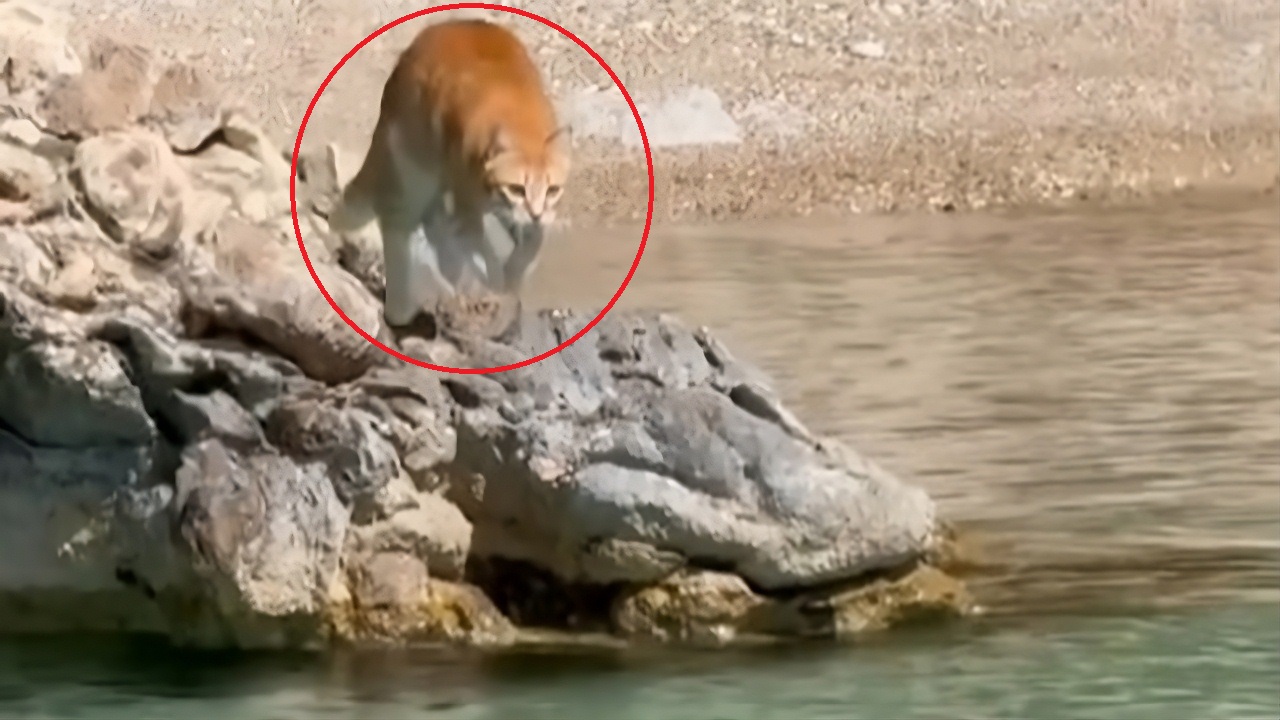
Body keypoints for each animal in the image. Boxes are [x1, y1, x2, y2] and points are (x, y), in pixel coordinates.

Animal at [327, 17, 573, 325]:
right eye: (516, 189)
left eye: (553, 190)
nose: (536, 214)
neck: (522, 123)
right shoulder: (469, 207)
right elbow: (482, 250)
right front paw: (494, 279)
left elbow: (528, 245)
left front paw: (512, 277)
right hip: (418, 170)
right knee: (404, 221)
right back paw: (404, 304)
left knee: (434, 223)